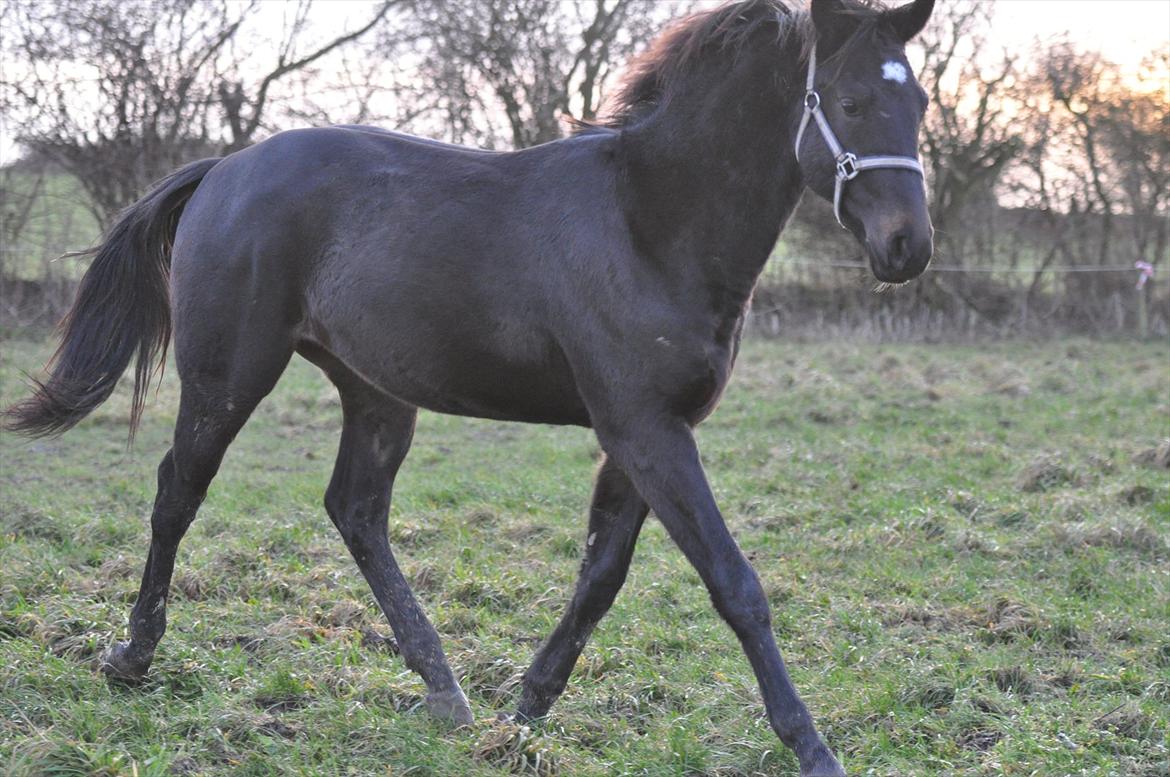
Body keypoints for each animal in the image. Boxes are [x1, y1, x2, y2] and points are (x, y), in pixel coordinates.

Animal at [2, 0, 931, 772]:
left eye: (919, 103)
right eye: (849, 102)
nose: (908, 248)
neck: (650, 223)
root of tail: (225, 169)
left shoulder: (649, 433)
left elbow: (602, 574)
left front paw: (525, 708)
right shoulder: (644, 428)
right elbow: (735, 584)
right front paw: (813, 747)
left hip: (377, 393)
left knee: (355, 509)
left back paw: (443, 687)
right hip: (228, 374)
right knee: (177, 493)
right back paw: (132, 656)